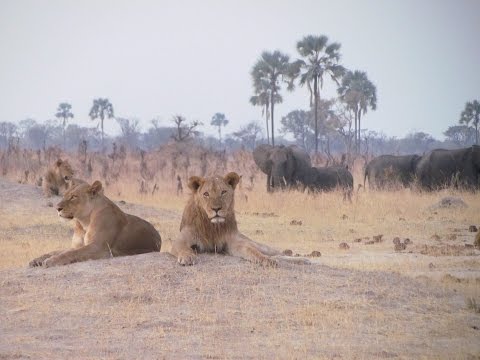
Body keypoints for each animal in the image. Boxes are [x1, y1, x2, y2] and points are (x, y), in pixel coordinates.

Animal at [29, 180, 161, 268]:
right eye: (64, 195)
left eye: (73, 197)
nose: (57, 208)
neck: (84, 221)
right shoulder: (77, 245)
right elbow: (58, 251)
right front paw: (37, 260)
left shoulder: (99, 247)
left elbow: (71, 253)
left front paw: (51, 261)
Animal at [171, 172, 310, 268]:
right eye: (206, 194)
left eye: (223, 192)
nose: (216, 208)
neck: (213, 227)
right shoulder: (182, 239)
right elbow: (183, 248)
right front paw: (188, 257)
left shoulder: (233, 242)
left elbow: (251, 250)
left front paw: (266, 260)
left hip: (259, 244)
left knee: (276, 253)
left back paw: (302, 259)